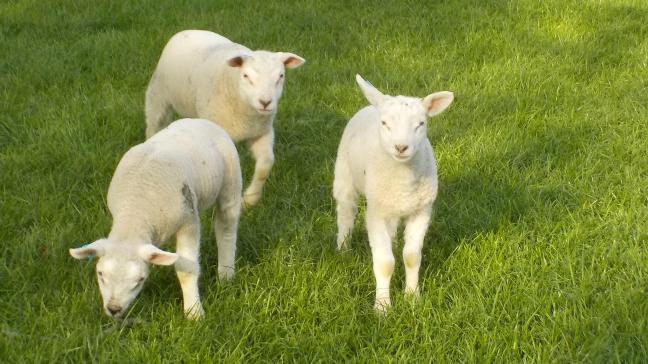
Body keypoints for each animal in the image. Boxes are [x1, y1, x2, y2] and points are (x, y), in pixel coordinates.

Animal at [69, 118, 243, 318]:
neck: (135, 214)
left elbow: (187, 270)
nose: (114, 309)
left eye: (140, 279)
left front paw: (194, 313)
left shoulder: (189, 221)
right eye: (100, 274)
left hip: (231, 180)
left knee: (226, 228)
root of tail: (200, 121)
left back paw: (226, 274)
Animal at [146, 29, 306, 208]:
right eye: (246, 76)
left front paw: (249, 200)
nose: (265, 102)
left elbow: (266, 164)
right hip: (157, 95)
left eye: (281, 76)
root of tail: (188, 31)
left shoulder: (262, 132)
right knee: (153, 125)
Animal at [332, 74, 454, 312]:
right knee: (346, 213)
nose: (401, 147)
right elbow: (385, 263)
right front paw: (382, 307)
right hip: (344, 176)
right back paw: (343, 248)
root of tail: (373, 104)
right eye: (385, 124)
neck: (403, 180)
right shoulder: (376, 215)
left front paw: (412, 298)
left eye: (421, 124)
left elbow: (412, 257)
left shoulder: (421, 211)